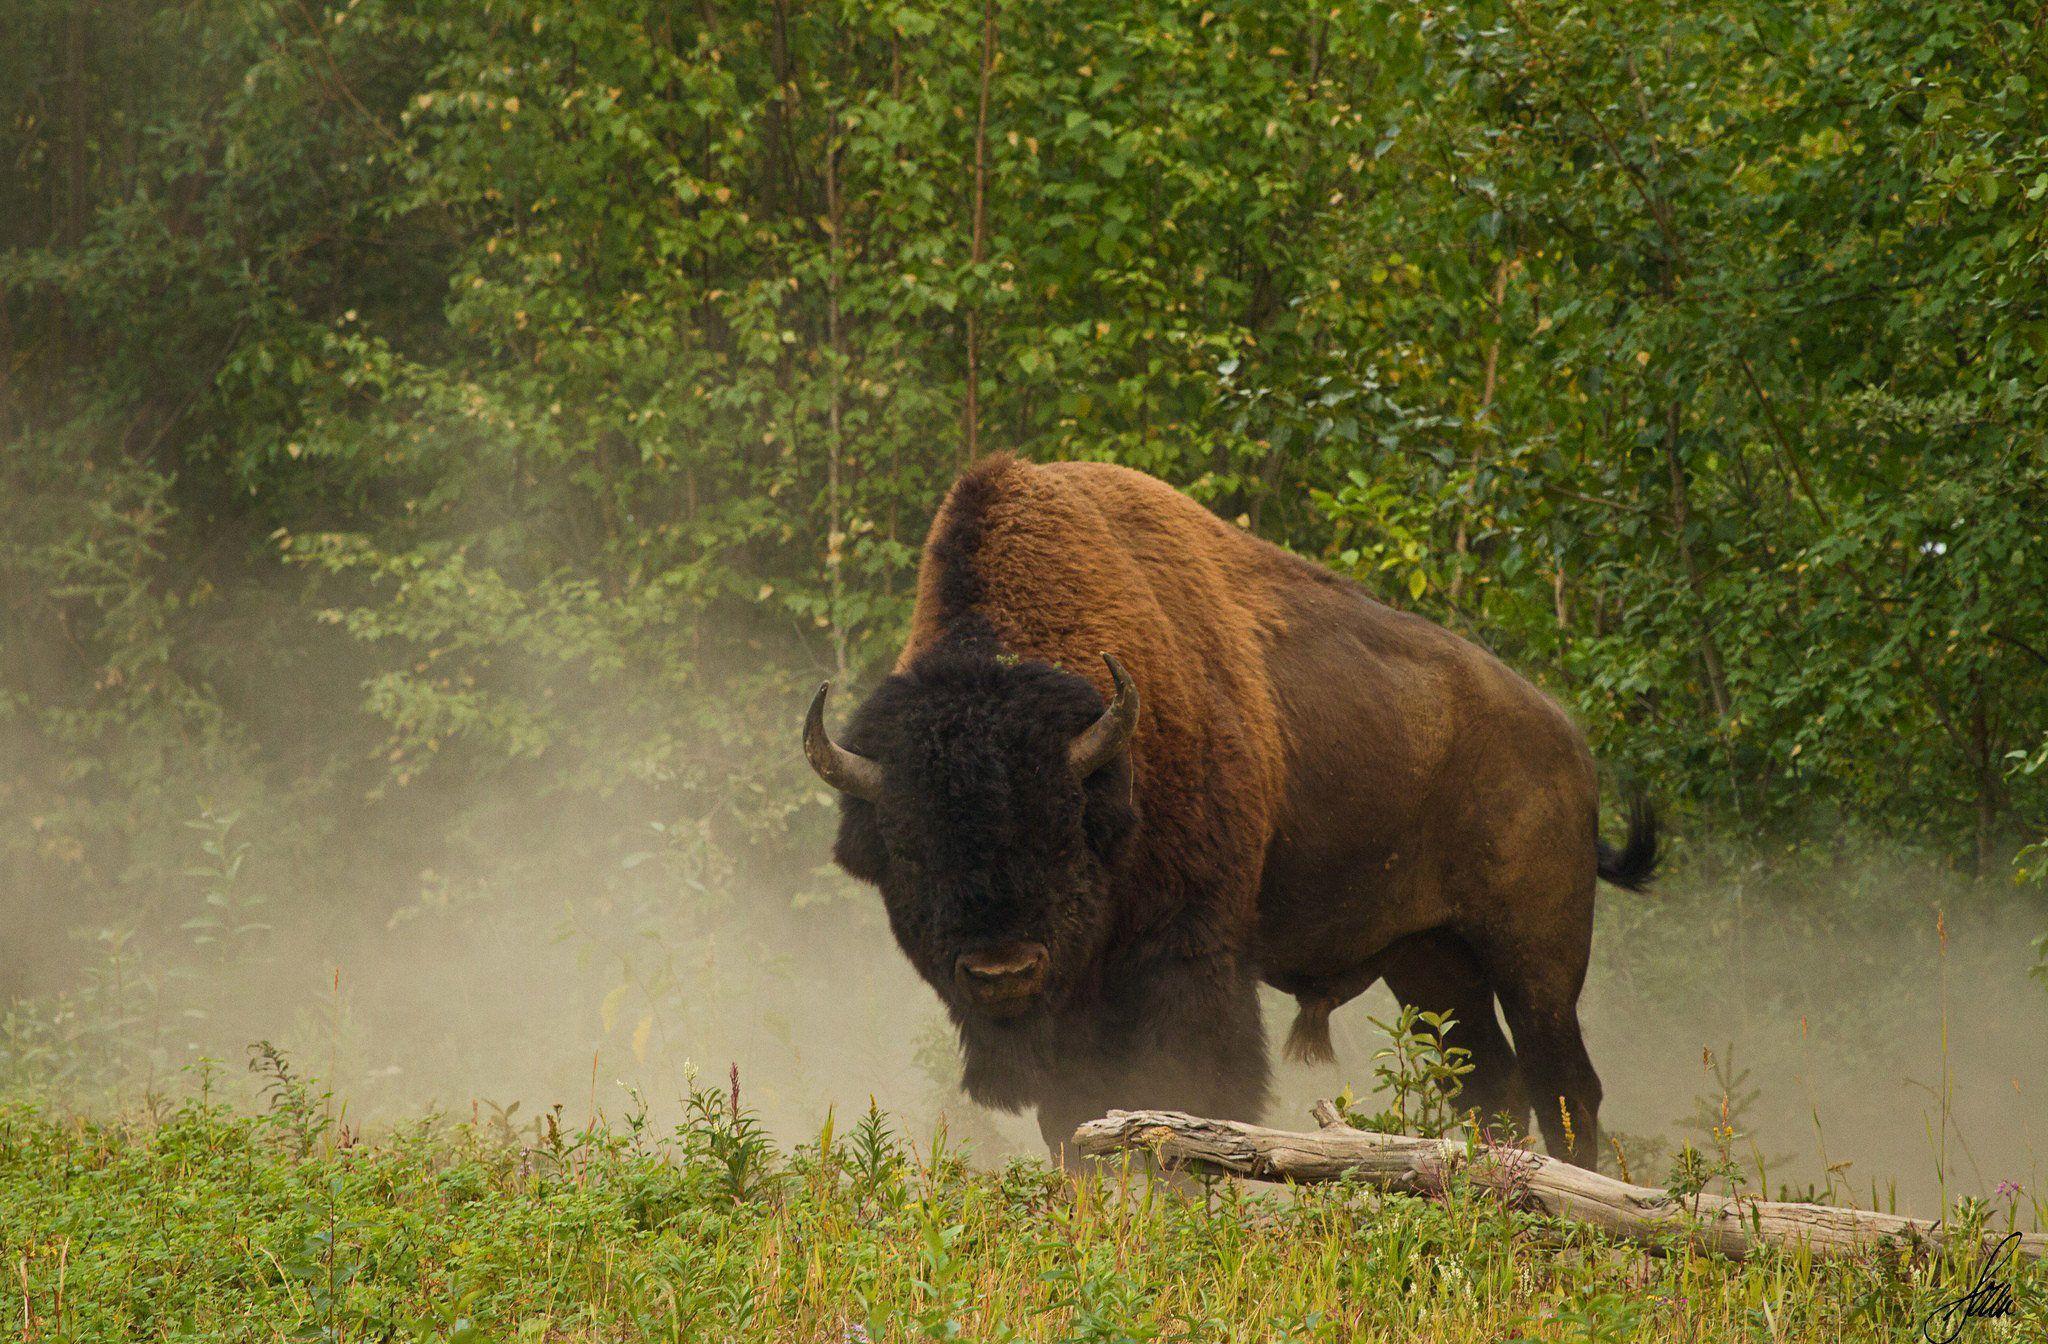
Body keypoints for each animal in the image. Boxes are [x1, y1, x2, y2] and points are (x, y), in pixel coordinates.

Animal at [805, 456, 1655, 1166]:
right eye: (911, 850)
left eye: (1062, 833)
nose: (1001, 971)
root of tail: (1567, 742)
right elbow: (1073, 1119)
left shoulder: (1188, 955)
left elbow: (1185, 1097)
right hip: (1428, 963)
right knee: (1491, 1083)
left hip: (1535, 956)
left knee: (1564, 1084)